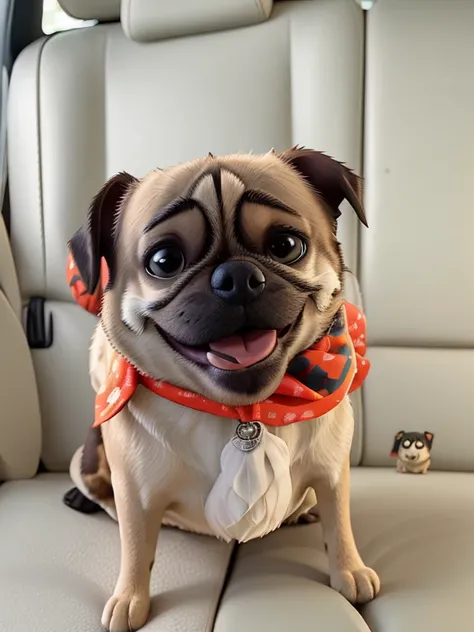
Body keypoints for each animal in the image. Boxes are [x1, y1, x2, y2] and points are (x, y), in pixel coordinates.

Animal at [65, 149, 380, 632]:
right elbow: (135, 546)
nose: (236, 276)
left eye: (286, 247)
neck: (243, 411)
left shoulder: (332, 470)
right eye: (164, 261)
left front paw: (350, 570)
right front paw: (129, 598)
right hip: (88, 456)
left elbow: (339, 523)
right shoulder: (135, 490)